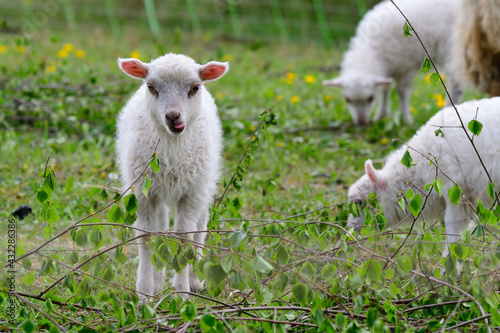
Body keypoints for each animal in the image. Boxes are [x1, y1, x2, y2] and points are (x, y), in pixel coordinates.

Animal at [115, 53, 229, 302]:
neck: (172, 147)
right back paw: (158, 279)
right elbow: (147, 237)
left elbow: (184, 238)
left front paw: (182, 292)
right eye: (151, 87)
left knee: (199, 228)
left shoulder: (192, 193)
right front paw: (145, 293)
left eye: (195, 87)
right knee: (161, 225)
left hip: (203, 183)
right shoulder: (142, 191)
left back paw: (194, 279)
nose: (173, 116)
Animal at [322, 0, 462, 124]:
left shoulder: (406, 66)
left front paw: (406, 118)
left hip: (453, 48)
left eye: (371, 98)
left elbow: (401, 91)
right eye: (347, 100)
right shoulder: (389, 69)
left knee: (456, 81)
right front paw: (381, 115)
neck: (372, 49)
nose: (361, 123)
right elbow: (385, 90)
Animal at [350, 97, 500, 255]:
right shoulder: (467, 194)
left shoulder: (456, 190)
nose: (350, 230)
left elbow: (454, 230)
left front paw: (447, 261)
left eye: (358, 202)